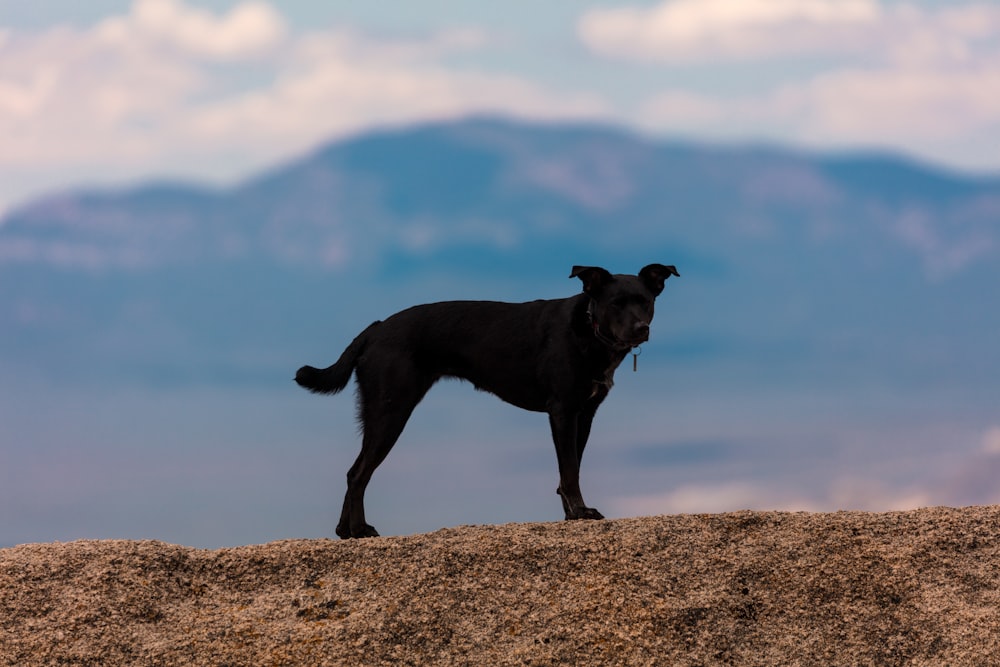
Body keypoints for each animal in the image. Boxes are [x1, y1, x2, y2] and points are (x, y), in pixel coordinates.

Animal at [292, 264, 676, 540]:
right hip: (391, 410)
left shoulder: (585, 415)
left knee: (353, 470)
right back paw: (360, 530)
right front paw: (580, 514)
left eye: (646, 302)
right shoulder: (563, 412)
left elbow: (571, 469)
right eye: (616, 304)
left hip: (380, 413)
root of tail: (375, 328)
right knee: (359, 473)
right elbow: (568, 471)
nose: (641, 329)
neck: (589, 328)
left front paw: (571, 515)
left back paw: (344, 532)